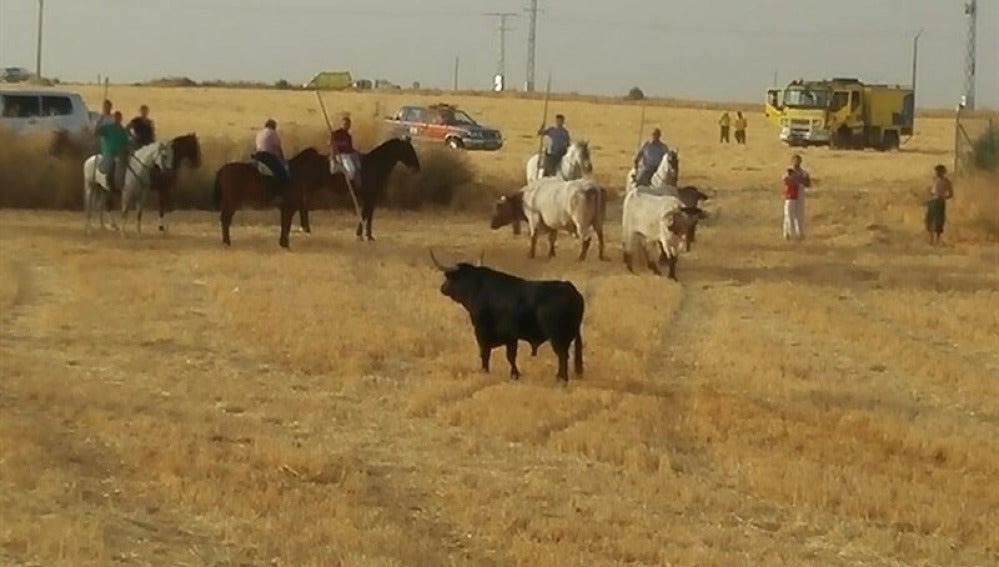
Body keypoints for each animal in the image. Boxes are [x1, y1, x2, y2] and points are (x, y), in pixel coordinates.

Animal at [432, 251, 584, 384]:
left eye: (449, 277)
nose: (442, 288)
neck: (478, 288)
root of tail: (571, 289)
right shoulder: (511, 337)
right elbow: (510, 356)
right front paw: (514, 375)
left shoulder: (483, 333)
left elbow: (487, 354)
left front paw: (486, 371)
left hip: (558, 337)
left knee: (562, 355)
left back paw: (562, 379)